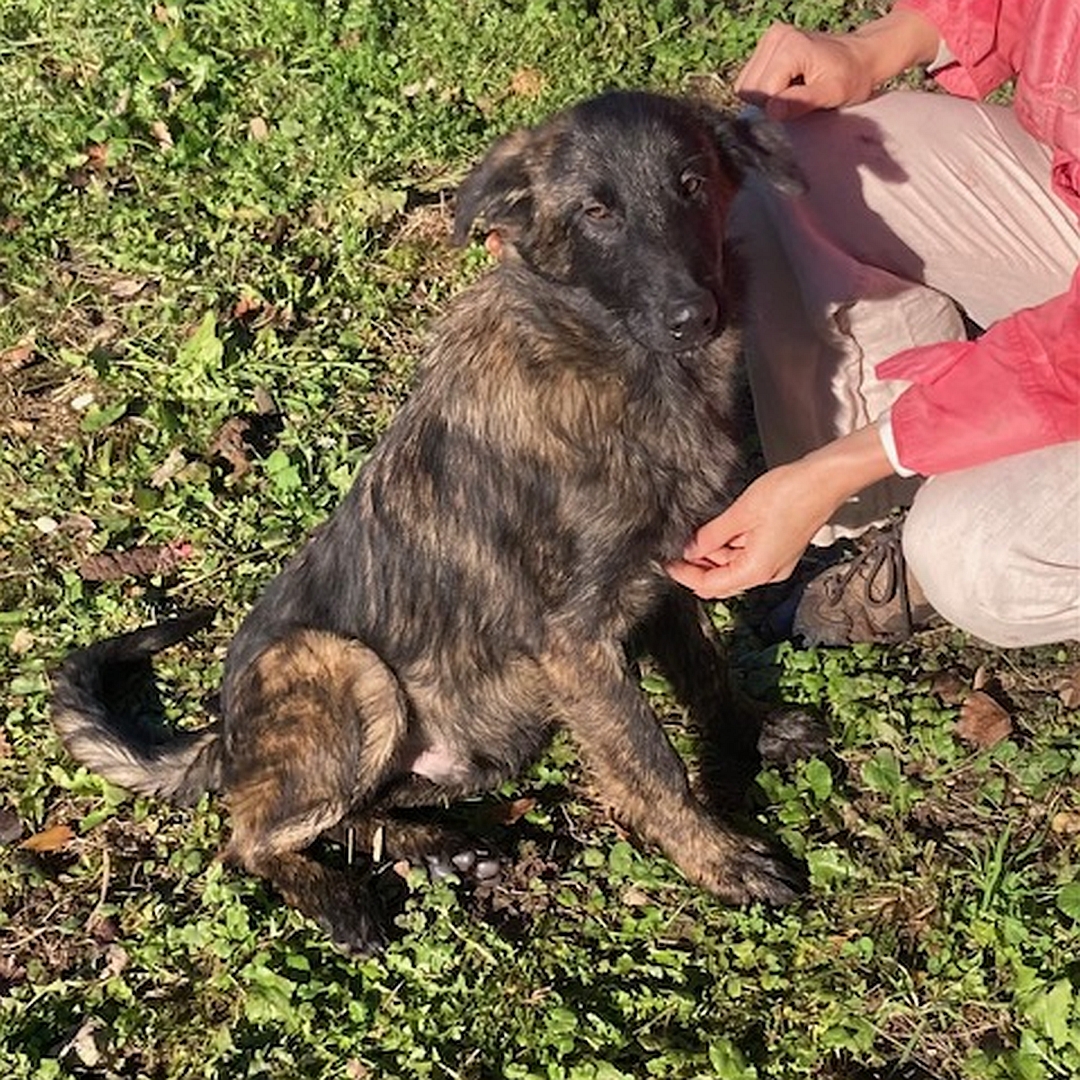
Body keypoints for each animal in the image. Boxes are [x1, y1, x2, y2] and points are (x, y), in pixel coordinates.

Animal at [50, 92, 812, 954]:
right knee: (248, 839)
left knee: (353, 812)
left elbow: (709, 674)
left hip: (483, 742)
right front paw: (721, 861)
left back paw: (440, 848)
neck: (619, 363)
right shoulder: (576, 642)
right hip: (346, 668)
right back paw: (338, 899)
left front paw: (752, 734)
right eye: (596, 212)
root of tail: (226, 739)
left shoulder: (669, 579)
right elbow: (653, 763)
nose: (693, 316)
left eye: (693, 186)